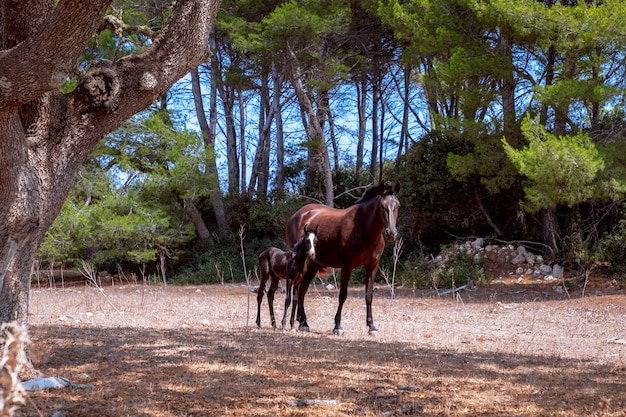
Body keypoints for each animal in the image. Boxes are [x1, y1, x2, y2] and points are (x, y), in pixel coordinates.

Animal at [286, 181, 400, 334]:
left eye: (397, 205)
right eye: (382, 205)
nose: (391, 233)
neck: (363, 227)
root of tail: (296, 216)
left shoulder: (372, 265)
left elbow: (369, 296)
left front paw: (371, 326)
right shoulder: (347, 265)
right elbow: (343, 295)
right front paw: (337, 326)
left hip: (313, 264)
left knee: (302, 289)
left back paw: (303, 322)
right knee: (298, 289)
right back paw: (302, 322)